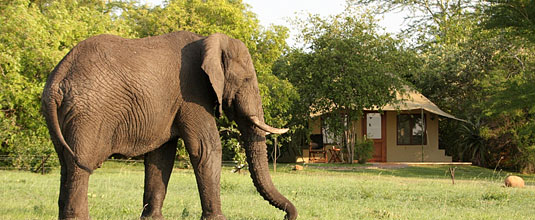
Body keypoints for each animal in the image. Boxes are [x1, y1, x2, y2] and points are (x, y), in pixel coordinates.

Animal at [42, 31, 300, 220]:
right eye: (246, 80)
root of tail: (58, 78)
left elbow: (161, 156)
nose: (288, 217)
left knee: (66, 166)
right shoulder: (192, 92)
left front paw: (152, 219)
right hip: (88, 114)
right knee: (80, 168)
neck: (207, 41)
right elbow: (206, 149)